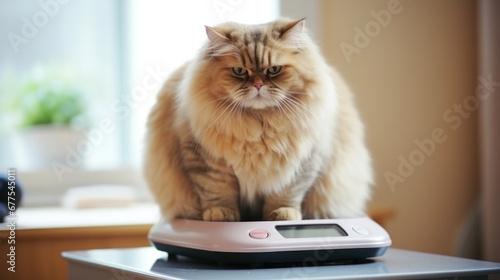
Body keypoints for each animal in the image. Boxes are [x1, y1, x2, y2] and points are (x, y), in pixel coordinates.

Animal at [144, 18, 372, 222]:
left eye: (274, 70)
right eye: (239, 71)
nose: (258, 85)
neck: (259, 124)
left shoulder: (300, 162)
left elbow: (286, 194)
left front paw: (283, 215)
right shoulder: (205, 159)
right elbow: (217, 190)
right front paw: (220, 214)